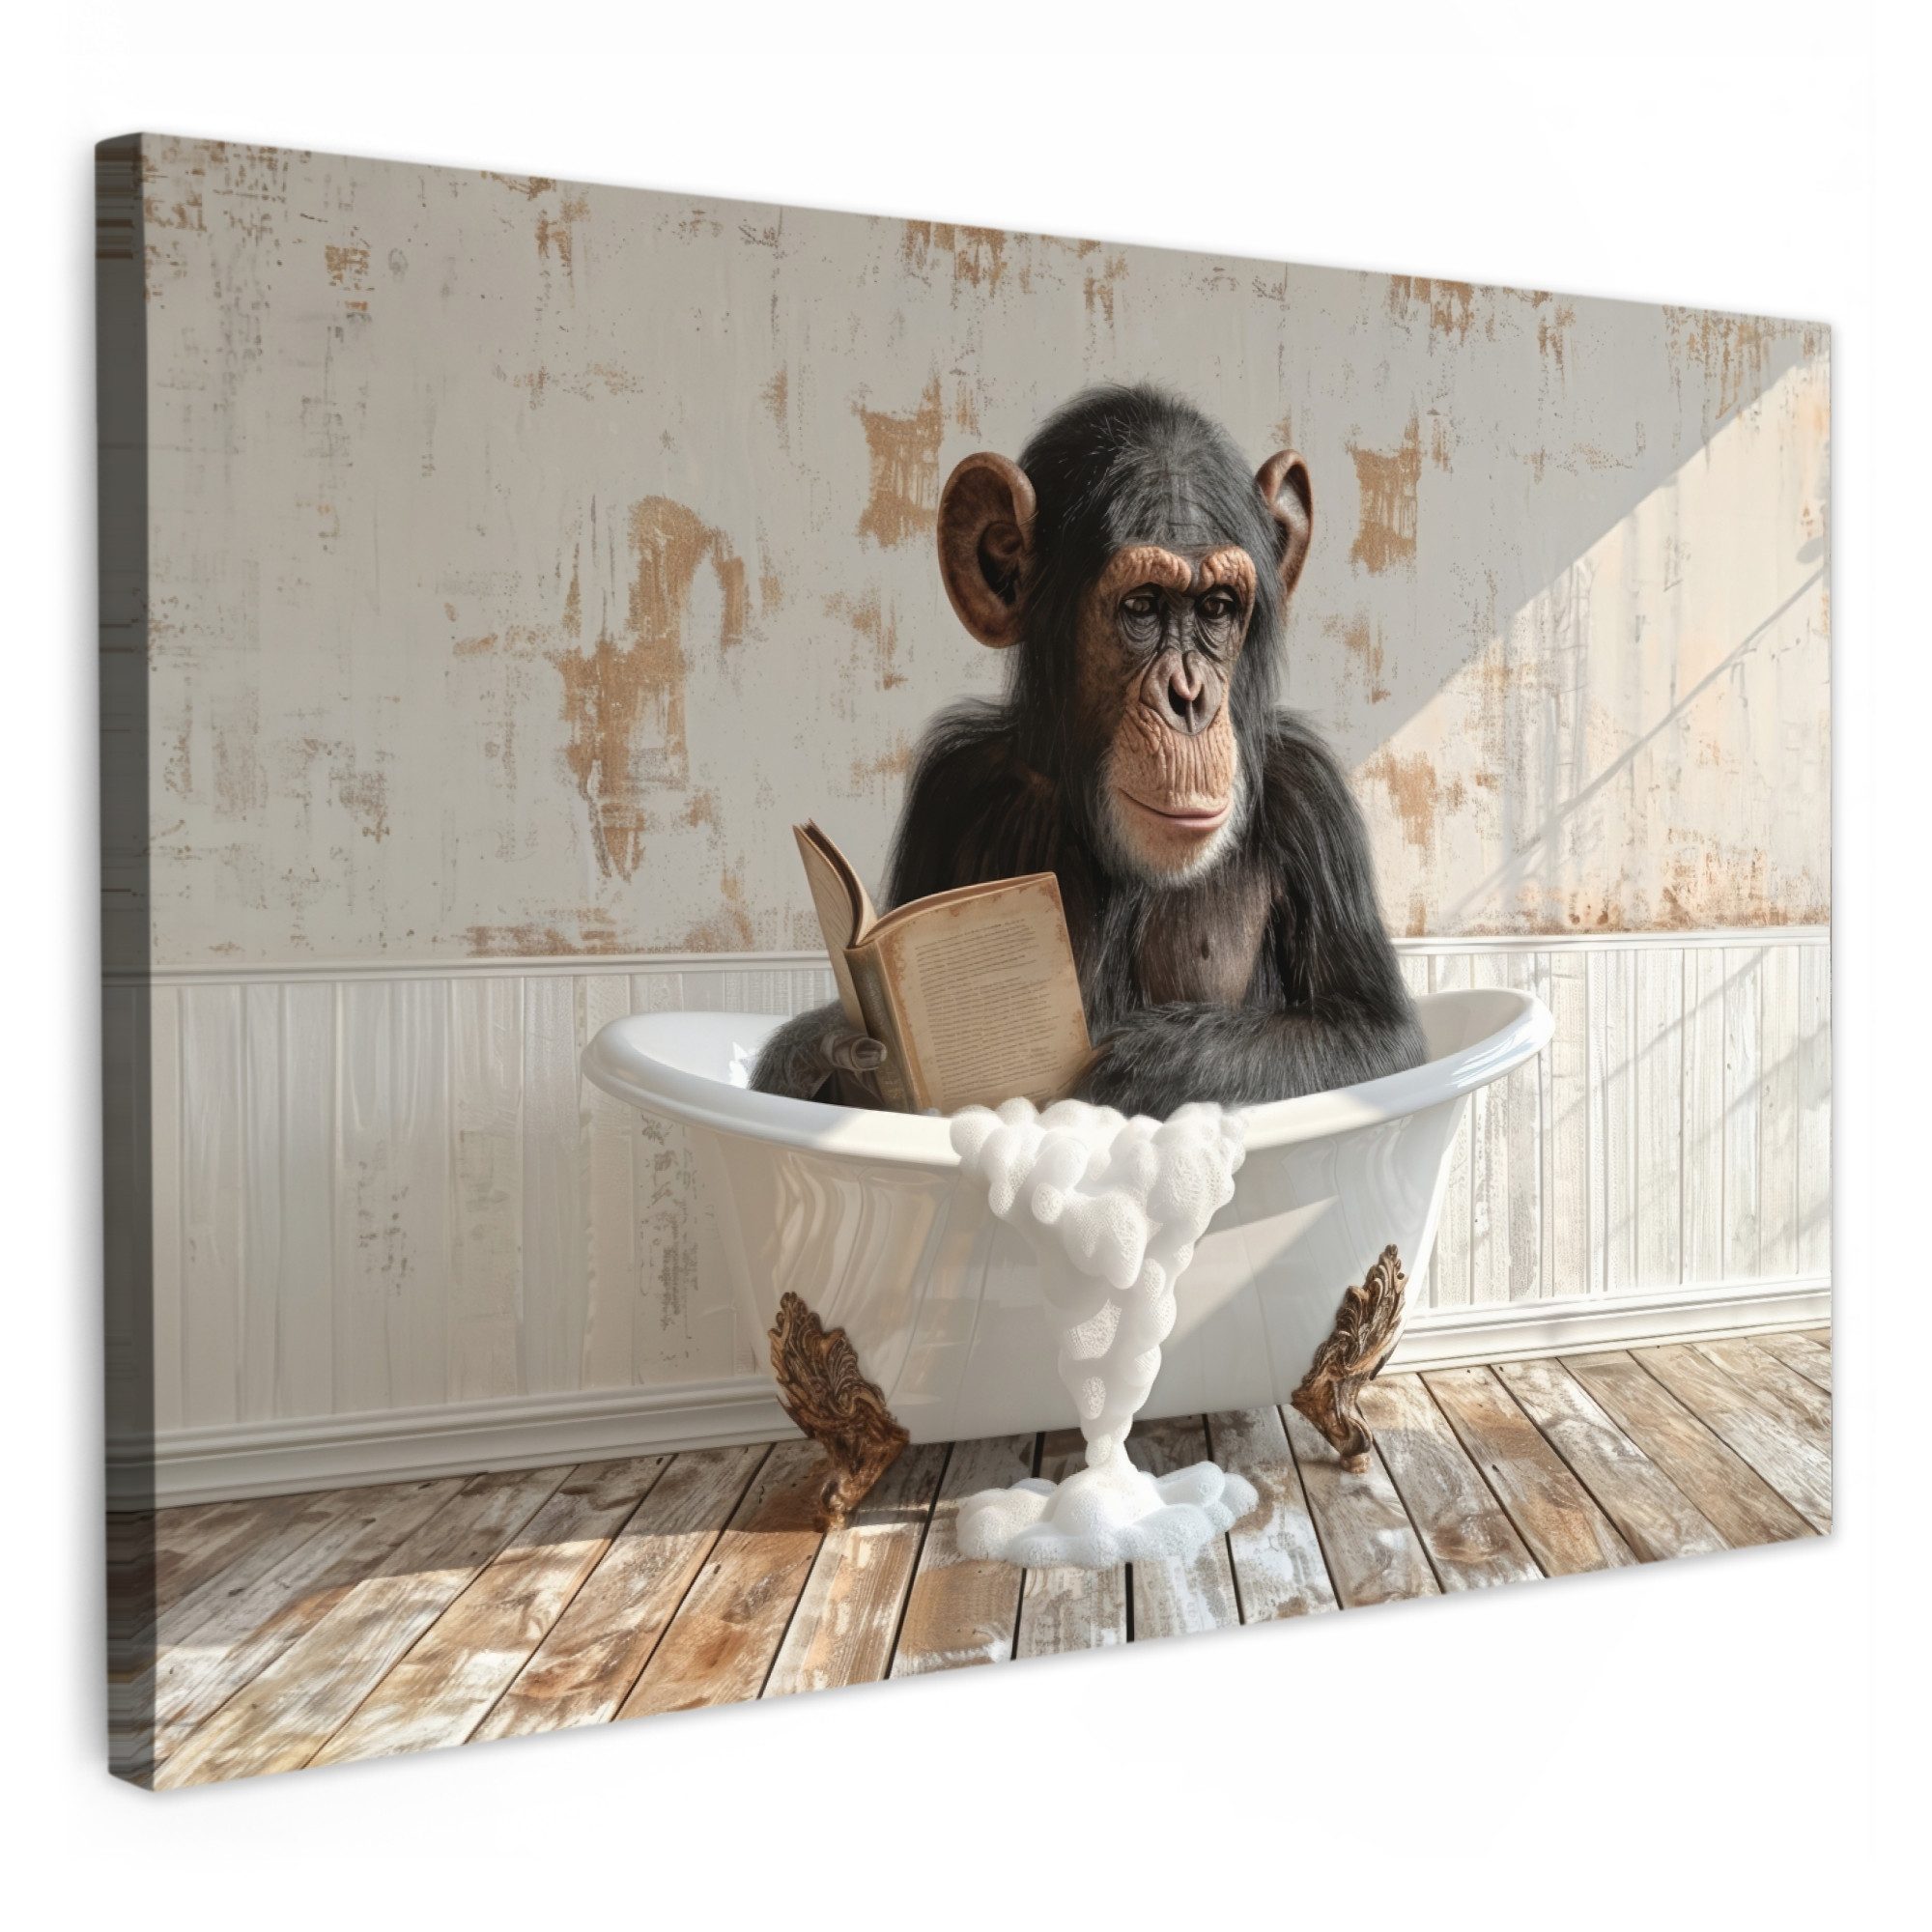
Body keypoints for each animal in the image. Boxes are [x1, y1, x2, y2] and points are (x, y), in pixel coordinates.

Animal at [753, 383, 1426, 1117]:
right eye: (1143, 606)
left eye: (1217, 608)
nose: (1189, 698)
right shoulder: (949, 785)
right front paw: (828, 1048)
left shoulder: (1311, 794)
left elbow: (1376, 1034)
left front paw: (1150, 1065)